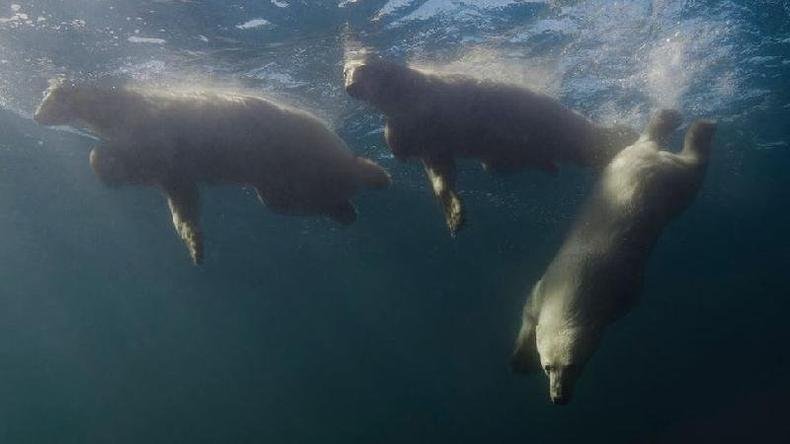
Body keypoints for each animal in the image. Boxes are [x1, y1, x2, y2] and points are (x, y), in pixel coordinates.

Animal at [33, 79, 391, 264]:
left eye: (47, 97)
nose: (36, 115)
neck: (117, 106)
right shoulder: (172, 168)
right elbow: (181, 197)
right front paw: (196, 246)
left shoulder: (152, 125)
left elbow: (136, 154)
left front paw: (105, 165)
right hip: (278, 179)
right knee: (289, 199)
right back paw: (346, 211)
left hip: (295, 138)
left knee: (336, 163)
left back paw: (377, 175)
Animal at [344, 57, 639, 235]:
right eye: (345, 71)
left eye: (363, 68)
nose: (350, 84)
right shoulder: (424, 134)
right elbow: (439, 169)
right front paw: (454, 215)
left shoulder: (435, 101)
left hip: (554, 119)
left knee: (578, 131)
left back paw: (622, 135)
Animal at [510, 109, 716, 405]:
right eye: (547, 366)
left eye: (574, 366)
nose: (559, 397)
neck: (574, 284)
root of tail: (649, 154)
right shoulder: (545, 286)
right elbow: (528, 313)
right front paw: (518, 360)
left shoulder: (622, 290)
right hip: (631, 161)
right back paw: (671, 118)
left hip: (668, 182)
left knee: (690, 170)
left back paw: (699, 126)